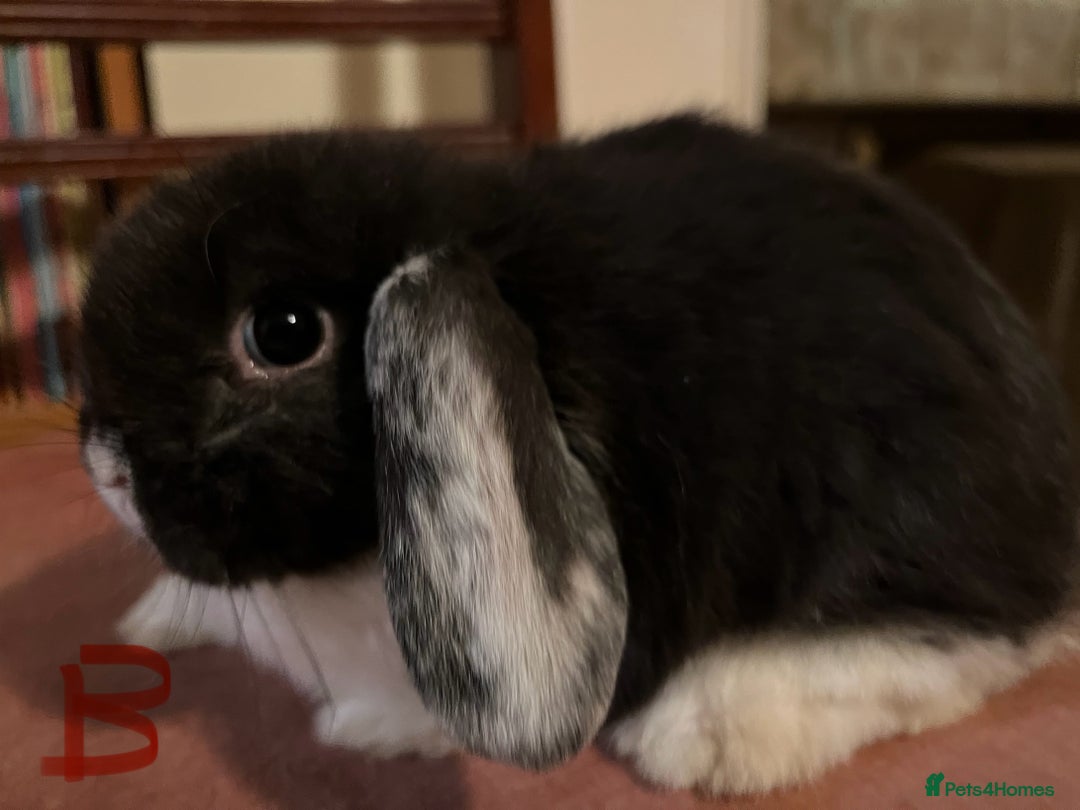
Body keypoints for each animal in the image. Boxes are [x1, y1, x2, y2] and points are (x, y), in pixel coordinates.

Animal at [77, 112, 1080, 796]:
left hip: (898, 498)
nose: (105, 466)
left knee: (976, 633)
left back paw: (705, 732)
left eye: (283, 332)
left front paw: (359, 727)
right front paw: (147, 623)